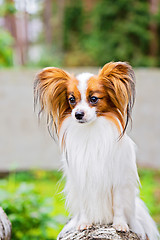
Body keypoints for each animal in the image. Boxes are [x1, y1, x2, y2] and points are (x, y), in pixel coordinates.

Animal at [34, 62, 160, 240]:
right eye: (71, 100)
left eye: (93, 99)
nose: (78, 114)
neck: (91, 130)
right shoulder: (82, 179)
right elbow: (84, 205)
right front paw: (84, 223)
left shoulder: (119, 180)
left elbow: (118, 205)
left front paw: (120, 225)